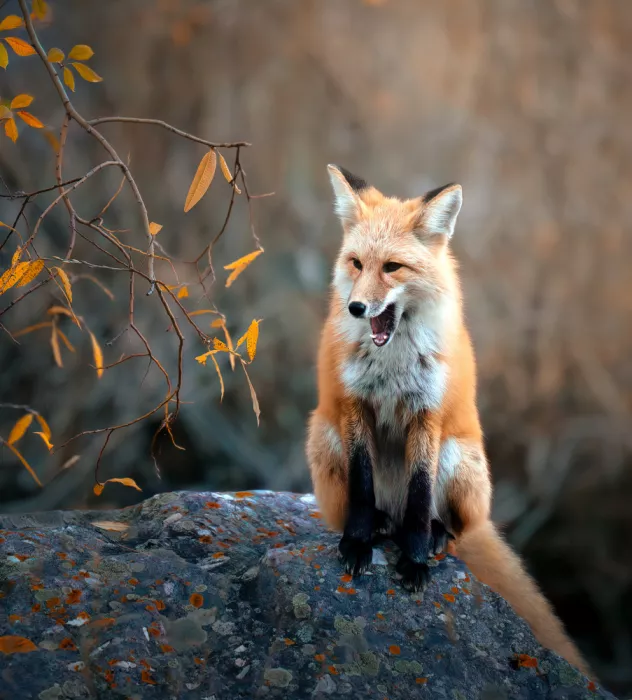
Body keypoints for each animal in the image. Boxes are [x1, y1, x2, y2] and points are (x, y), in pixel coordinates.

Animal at [306, 164, 590, 675]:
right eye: (356, 264)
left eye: (391, 267)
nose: (356, 307)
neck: (392, 362)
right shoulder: (355, 406)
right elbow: (361, 487)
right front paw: (358, 543)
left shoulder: (428, 413)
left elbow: (421, 494)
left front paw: (416, 561)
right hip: (325, 435)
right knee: (370, 507)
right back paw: (381, 524)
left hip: (460, 457)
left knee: (456, 528)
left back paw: (434, 536)